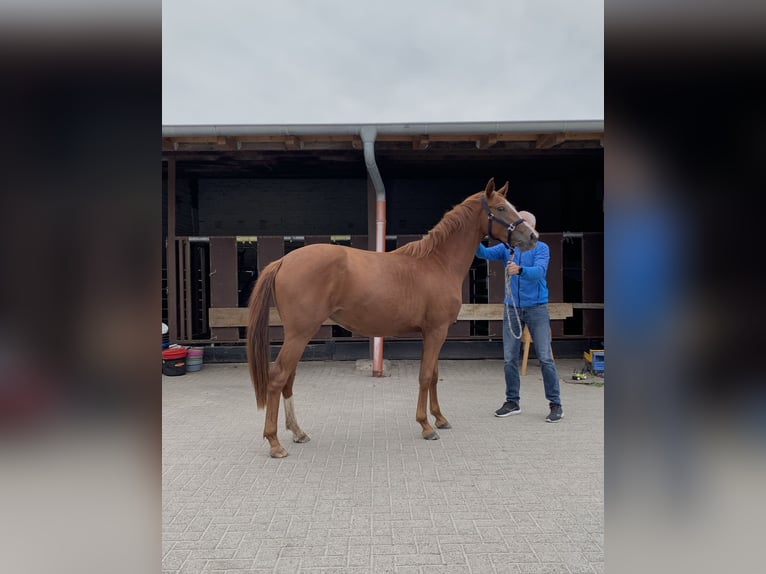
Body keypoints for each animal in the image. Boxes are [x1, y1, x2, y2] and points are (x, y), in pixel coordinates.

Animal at [249, 180, 536, 460]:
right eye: (500, 208)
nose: (532, 236)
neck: (438, 263)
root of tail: (283, 260)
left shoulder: (433, 333)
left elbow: (434, 375)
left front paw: (440, 418)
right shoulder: (436, 331)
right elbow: (424, 376)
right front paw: (426, 426)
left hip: (298, 335)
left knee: (288, 378)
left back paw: (298, 432)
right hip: (299, 334)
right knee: (278, 376)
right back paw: (275, 443)